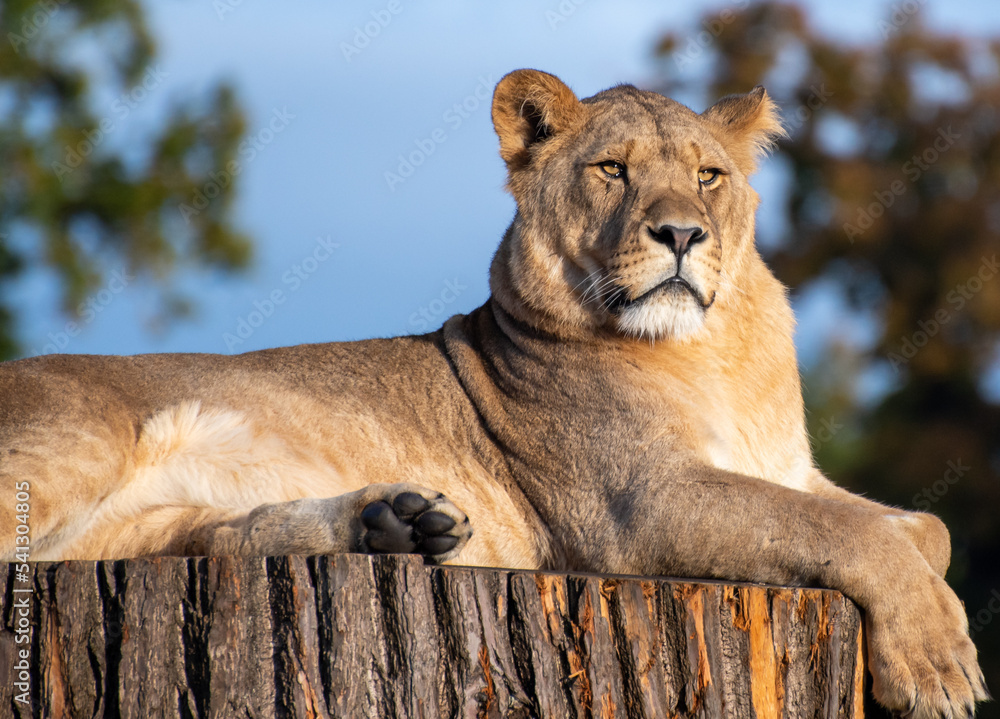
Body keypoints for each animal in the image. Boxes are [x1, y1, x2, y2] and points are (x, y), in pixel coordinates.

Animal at [0, 69, 987, 718]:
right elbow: (850, 532)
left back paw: (397, 522)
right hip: (78, 441)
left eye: (708, 174)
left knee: (210, 535)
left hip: (147, 532)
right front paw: (940, 666)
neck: (713, 351)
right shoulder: (638, 505)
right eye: (613, 170)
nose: (682, 234)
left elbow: (923, 527)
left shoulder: (785, 468)